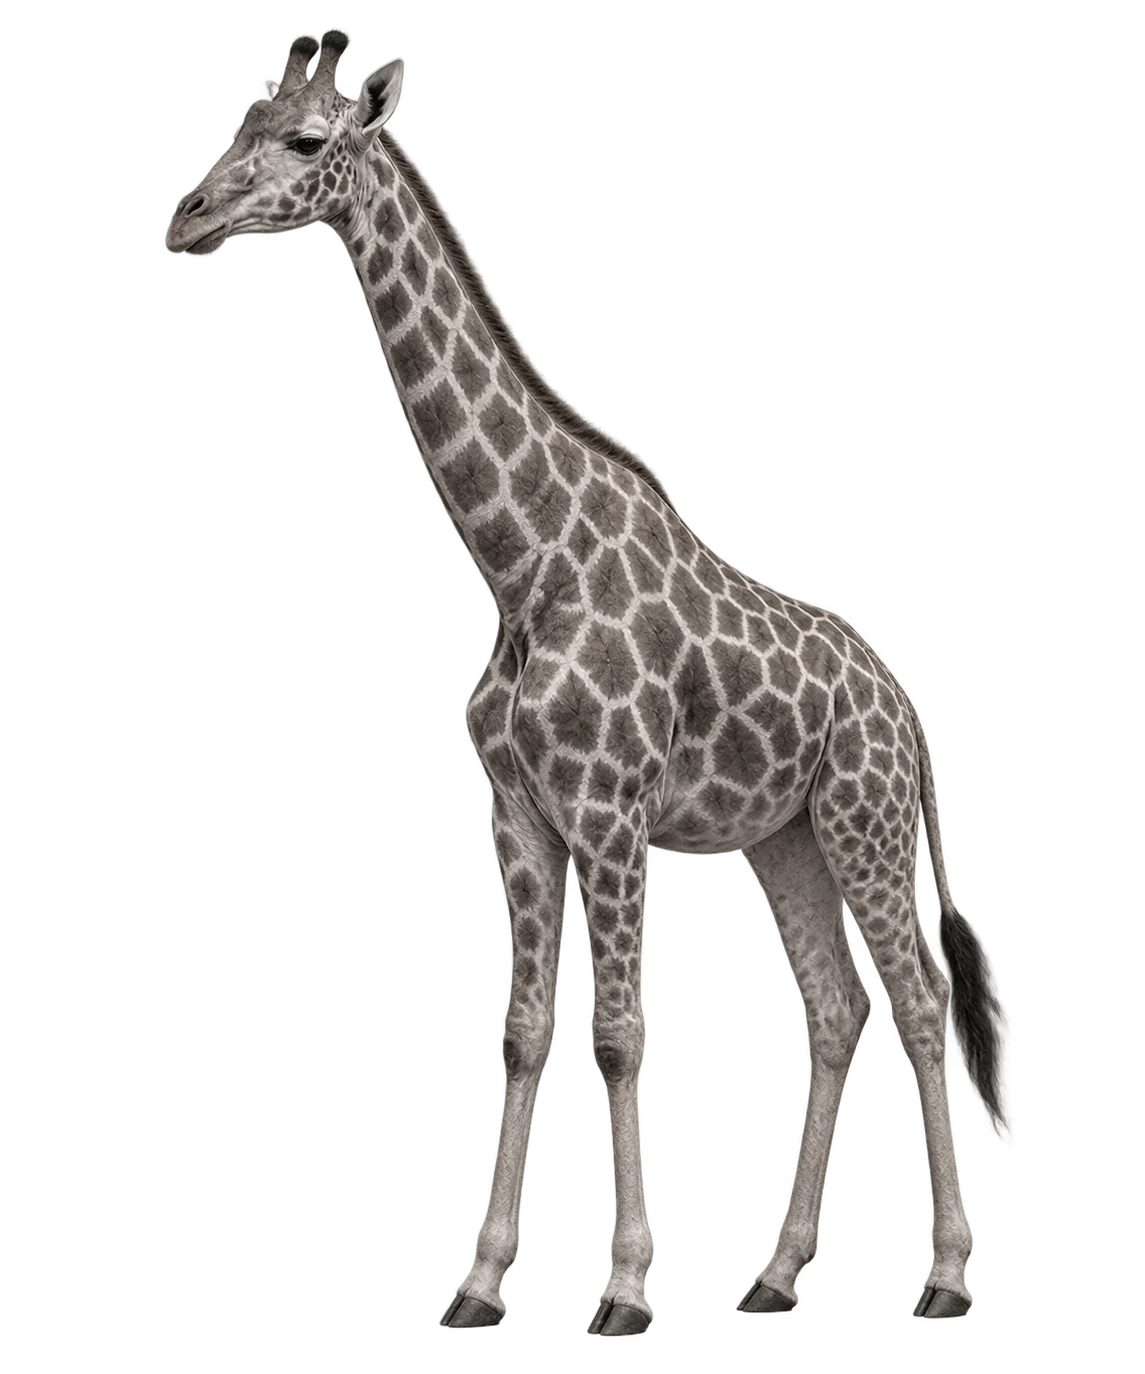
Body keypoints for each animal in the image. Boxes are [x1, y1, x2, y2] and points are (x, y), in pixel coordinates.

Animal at [165, 32, 1014, 1335]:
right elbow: (521, 1029)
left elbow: (617, 1032)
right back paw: (772, 1277)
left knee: (920, 1006)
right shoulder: (517, 815)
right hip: (784, 842)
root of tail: (906, 710)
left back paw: (944, 1278)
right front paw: (477, 1284)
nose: (186, 220)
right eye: (233, 128)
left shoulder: (610, 815)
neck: (520, 563)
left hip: (862, 827)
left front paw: (621, 1290)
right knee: (835, 1009)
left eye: (306, 142)